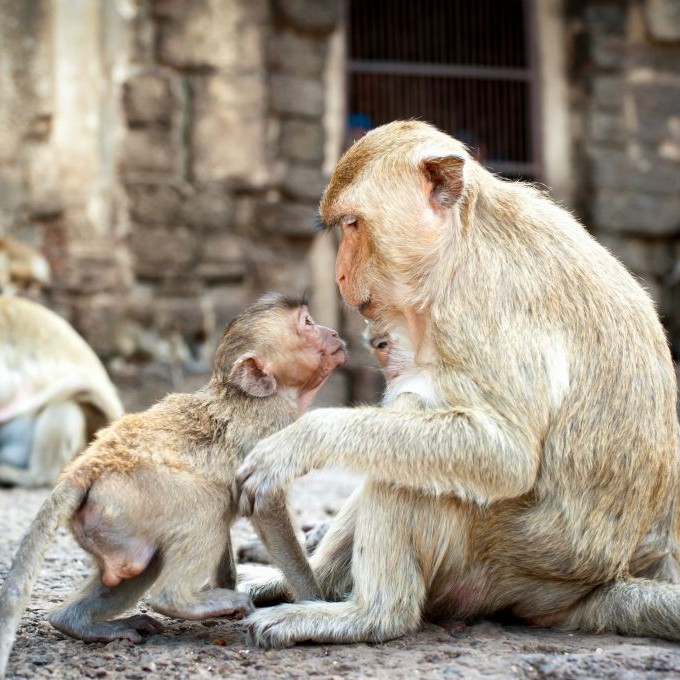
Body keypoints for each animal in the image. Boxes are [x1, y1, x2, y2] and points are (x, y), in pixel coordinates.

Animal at [0, 292, 348, 676]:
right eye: (307, 324)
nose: (333, 332)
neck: (251, 396)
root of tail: (86, 466)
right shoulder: (274, 426)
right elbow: (266, 506)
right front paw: (311, 600)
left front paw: (228, 583)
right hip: (140, 493)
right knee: (207, 506)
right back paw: (180, 602)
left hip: (115, 518)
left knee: (144, 562)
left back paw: (76, 622)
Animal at [235, 122, 680, 648]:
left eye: (353, 225)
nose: (341, 275)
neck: (461, 242)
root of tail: (601, 582)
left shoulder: (487, 308)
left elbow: (505, 454)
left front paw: (300, 441)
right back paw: (303, 585)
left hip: (509, 561)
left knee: (420, 446)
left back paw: (367, 616)